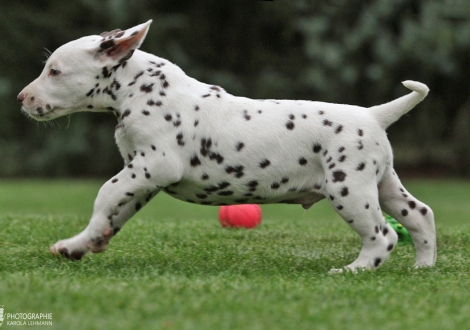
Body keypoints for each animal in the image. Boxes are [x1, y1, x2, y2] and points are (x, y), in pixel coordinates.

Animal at [18, 21, 436, 274]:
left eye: (54, 71)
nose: (22, 98)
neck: (142, 90)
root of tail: (373, 115)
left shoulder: (152, 166)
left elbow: (105, 194)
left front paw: (84, 238)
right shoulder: (144, 178)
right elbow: (115, 213)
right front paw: (81, 244)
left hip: (350, 190)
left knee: (383, 236)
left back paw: (353, 270)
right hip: (383, 185)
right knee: (420, 215)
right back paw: (424, 267)